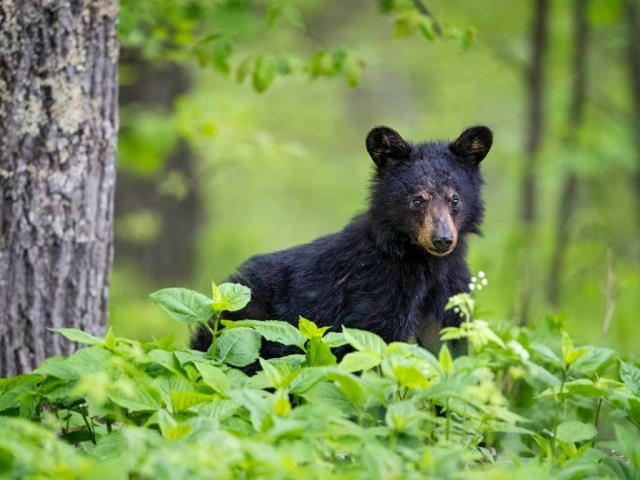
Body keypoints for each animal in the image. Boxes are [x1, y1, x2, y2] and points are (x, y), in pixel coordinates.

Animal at [192, 125, 492, 360]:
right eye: (417, 200)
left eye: (455, 199)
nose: (442, 239)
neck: (423, 262)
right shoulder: (376, 290)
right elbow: (375, 347)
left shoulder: (451, 289)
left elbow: (447, 346)